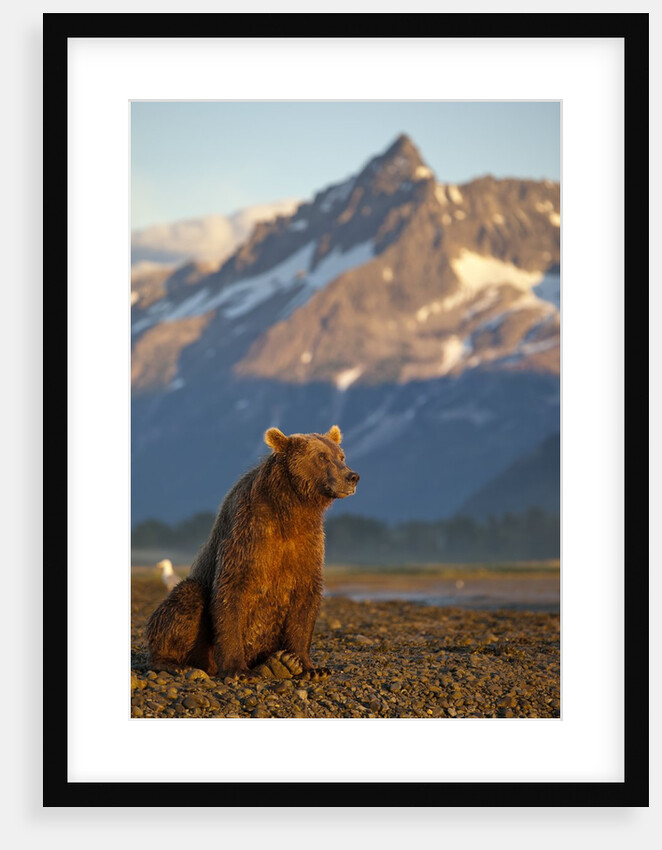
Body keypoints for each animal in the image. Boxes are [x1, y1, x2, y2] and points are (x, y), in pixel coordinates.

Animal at [145, 425, 359, 679]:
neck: (291, 509)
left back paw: (278, 663)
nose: (352, 476)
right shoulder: (248, 536)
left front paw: (308, 665)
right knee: (186, 599)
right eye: (322, 457)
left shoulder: (307, 544)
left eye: (341, 456)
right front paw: (238, 669)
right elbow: (231, 592)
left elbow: (305, 598)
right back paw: (174, 663)